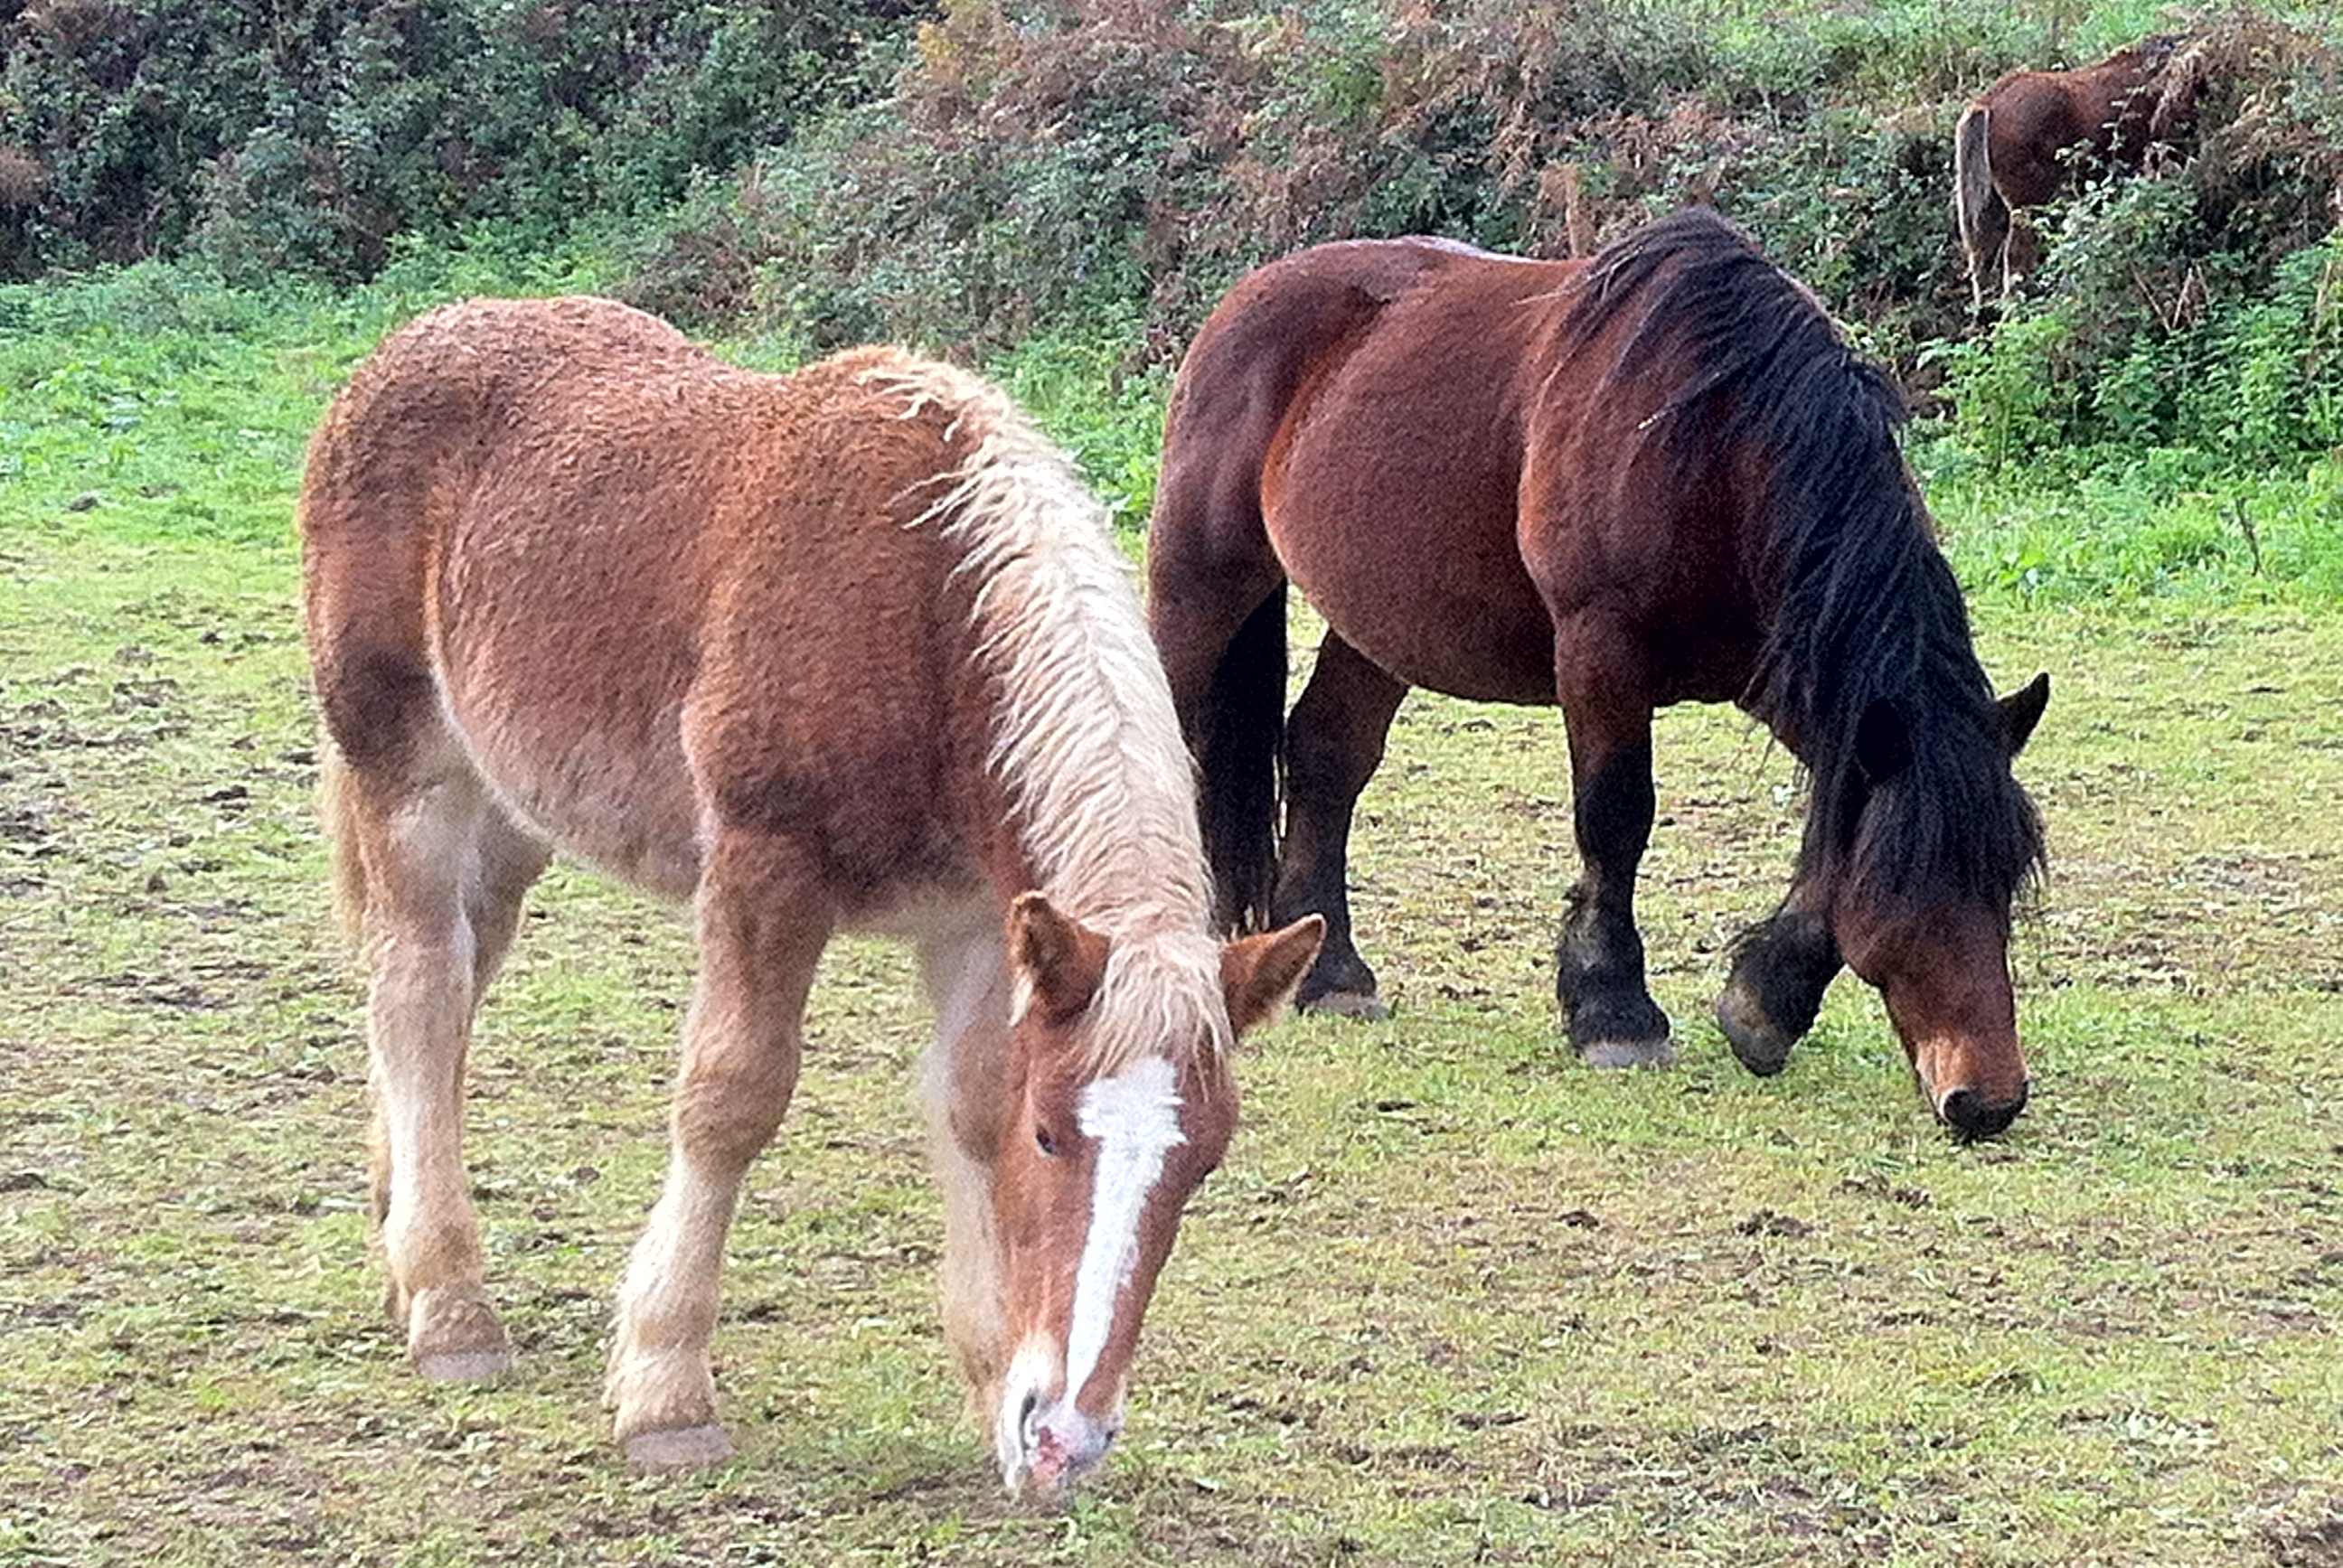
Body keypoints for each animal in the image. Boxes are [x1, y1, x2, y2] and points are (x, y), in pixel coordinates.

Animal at [300, 296, 1322, 1495]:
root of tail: (406, 345)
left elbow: (965, 1103)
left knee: (454, 982)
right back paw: (452, 1308)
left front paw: (994, 1387)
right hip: (406, 766)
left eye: (1202, 1162)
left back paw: (399, 1244)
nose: (1069, 1437)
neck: (927, 616)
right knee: (416, 987)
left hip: (514, 803)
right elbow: (732, 1097)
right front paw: (666, 1390)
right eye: (1053, 1137)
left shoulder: (981, 919)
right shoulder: (764, 869)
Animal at [1147, 208, 2049, 1140]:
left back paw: (1333, 974)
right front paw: (1614, 1009)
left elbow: (1829, 845)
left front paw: (1764, 1003)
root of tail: (1246, 299)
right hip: (1199, 579)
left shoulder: (1782, 677)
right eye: (1912, 888)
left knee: (1327, 755)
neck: (1715, 444)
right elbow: (1617, 817)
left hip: (1380, 623)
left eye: (2005, 879)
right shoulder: (1600, 649)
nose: (1989, 1098)